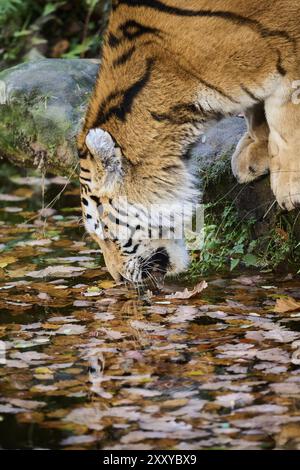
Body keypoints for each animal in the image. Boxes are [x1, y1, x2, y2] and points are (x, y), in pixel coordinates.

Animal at [77, 0, 300, 284]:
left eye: (105, 233)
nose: (118, 278)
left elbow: (284, 113)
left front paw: (290, 188)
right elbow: (256, 111)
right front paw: (254, 154)